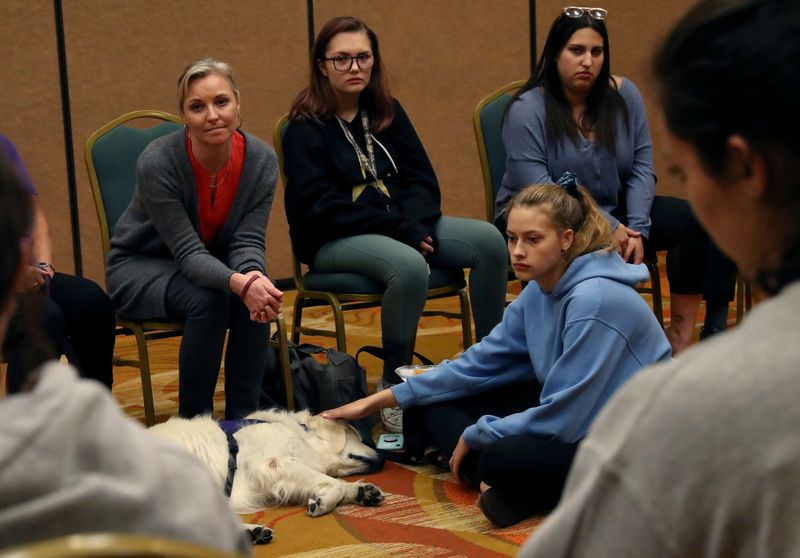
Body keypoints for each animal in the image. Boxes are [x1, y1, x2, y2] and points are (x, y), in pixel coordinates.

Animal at [154, 412, 388, 544]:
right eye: (356, 436)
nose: (383, 459)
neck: (301, 434)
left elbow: (334, 481)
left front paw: (361, 491)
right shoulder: (273, 464)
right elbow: (333, 484)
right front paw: (324, 502)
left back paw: (253, 534)